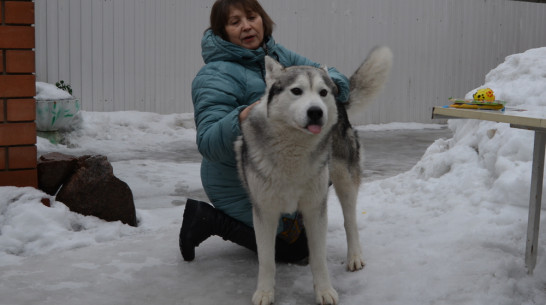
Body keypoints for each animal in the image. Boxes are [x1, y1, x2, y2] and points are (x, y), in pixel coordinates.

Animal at [234, 45, 392, 304]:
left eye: (322, 92)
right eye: (296, 91)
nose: (316, 111)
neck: (293, 150)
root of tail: (341, 102)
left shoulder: (314, 207)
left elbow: (319, 259)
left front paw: (325, 291)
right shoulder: (264, 211)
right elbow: (267, 260)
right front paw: (265, 292)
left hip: (344, 181)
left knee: (350, 221)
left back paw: (354, 257)